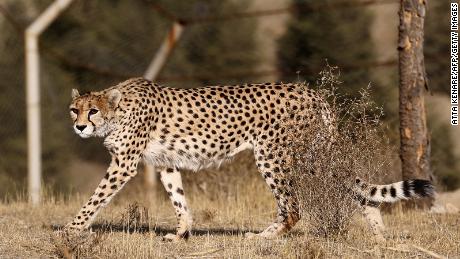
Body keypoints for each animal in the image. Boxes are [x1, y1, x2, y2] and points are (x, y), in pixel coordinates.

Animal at [66, 78, 434, 243]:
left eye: (93, 110)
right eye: (74, 109)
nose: (79, 126)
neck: (117, 110)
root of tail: (312, 92)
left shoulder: (124, 164)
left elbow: (96, 198)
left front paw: (70, 228)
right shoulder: (166, 162)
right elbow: (178, 199)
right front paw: (181, 232)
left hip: (276, 154)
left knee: (293, 206)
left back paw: (264, 236)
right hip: (313, 154)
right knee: (357, 190)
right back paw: (379, 236)